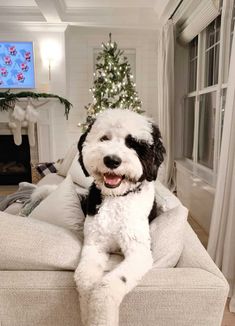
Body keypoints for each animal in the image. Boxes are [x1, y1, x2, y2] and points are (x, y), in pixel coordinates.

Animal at [75, 109, 165, 326]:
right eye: (104, 138)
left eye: (132, 144)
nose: (112, 160)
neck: (116, 199)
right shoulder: (94, 244)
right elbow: (84, 280)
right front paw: (87, 315)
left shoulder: (139, 252)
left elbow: (106, 288)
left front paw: (101, 318)